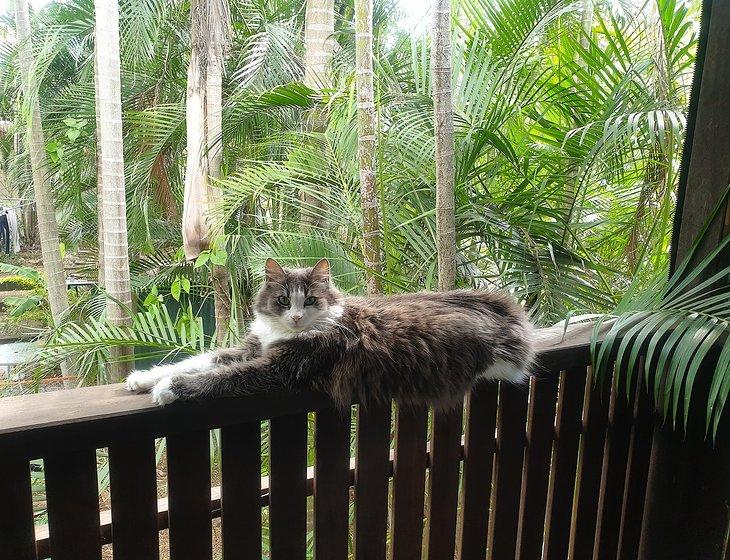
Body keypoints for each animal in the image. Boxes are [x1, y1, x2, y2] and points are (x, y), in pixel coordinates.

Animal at [126, 258, 536, 406]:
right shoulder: (253, 348)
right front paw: (144, 378)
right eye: (282, 300)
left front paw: (168, 388)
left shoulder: (276, 368)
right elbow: (198, 360)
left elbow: (217, 378)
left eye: (309, 300)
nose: (295, 318)